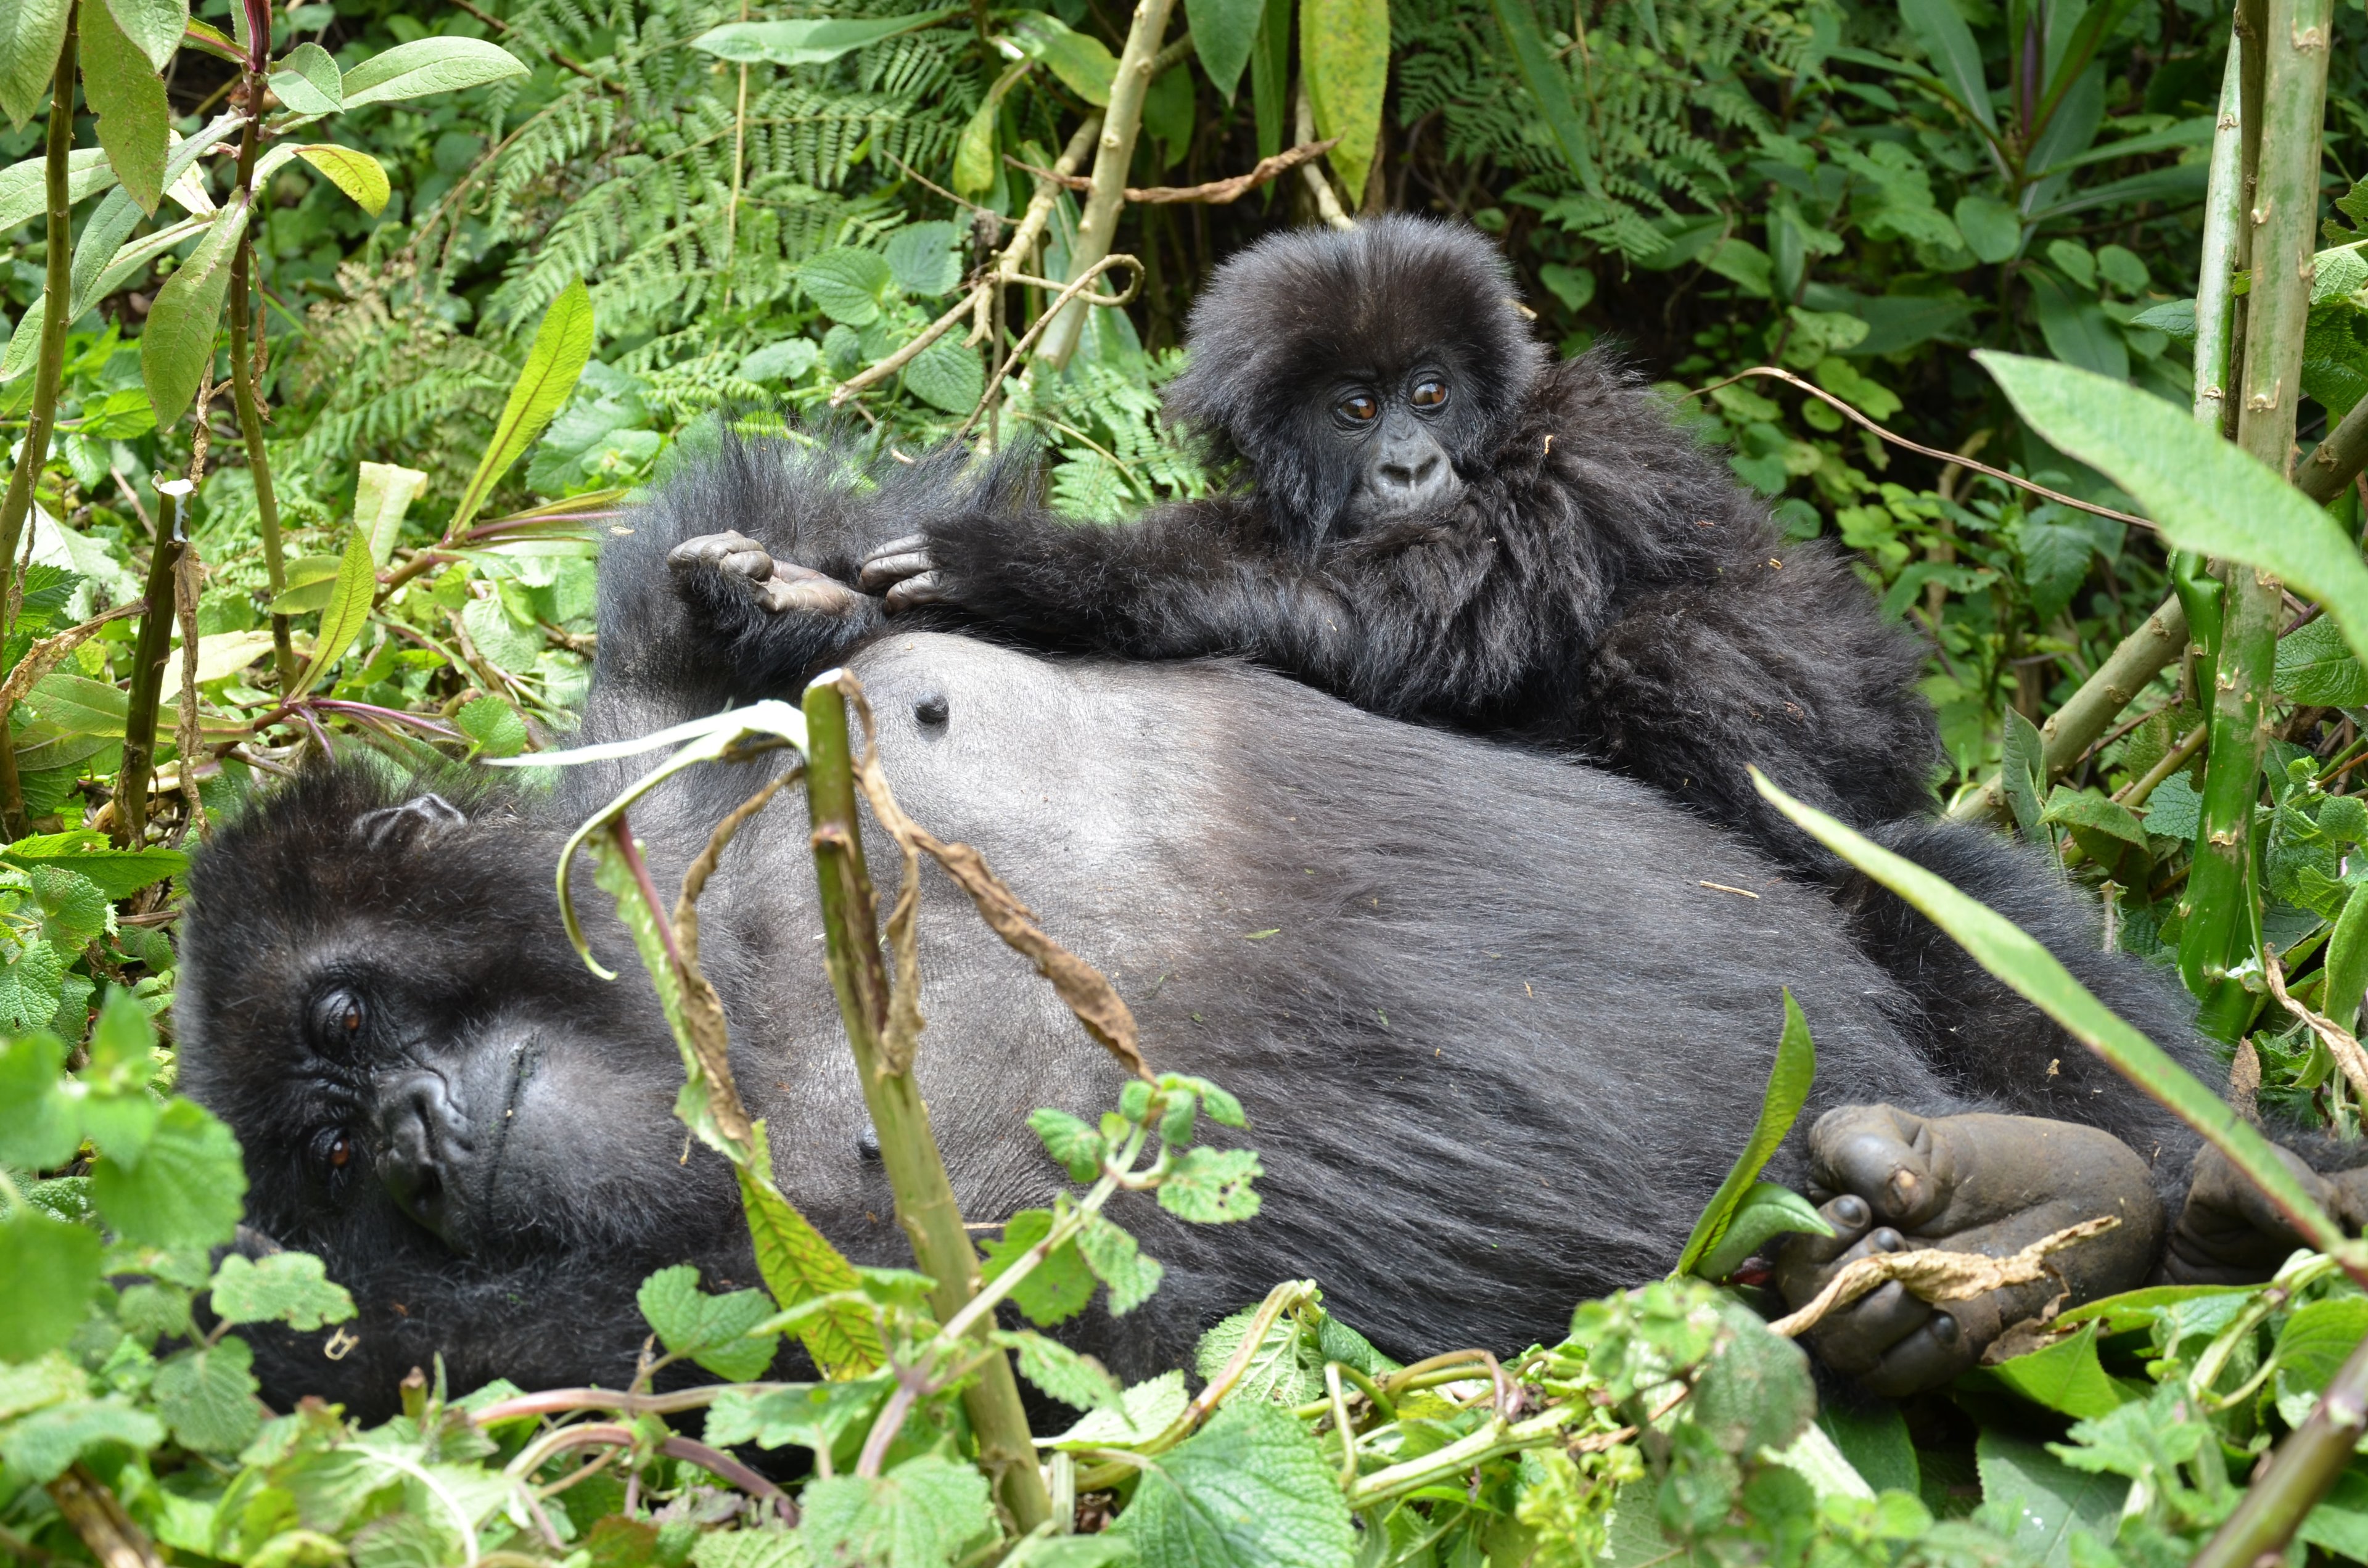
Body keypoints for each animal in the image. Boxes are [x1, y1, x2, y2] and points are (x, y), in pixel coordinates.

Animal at [175, 443, 2339, 1421]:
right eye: (338, 1149)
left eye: (346, 1022)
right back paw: (2023, 1242)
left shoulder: (640, 704)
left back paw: (2168, 1193)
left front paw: (797, 603)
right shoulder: (467, 1317)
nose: (427, 1133)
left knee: (1912, 872)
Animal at [871, 213, 1941, 871]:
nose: (1409, 466)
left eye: (1429, 393)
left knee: (1674, 647)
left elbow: (1400, 630)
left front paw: (1028, 572)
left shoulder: (1574, 459)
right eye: (1356, 408)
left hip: (1862, 723)